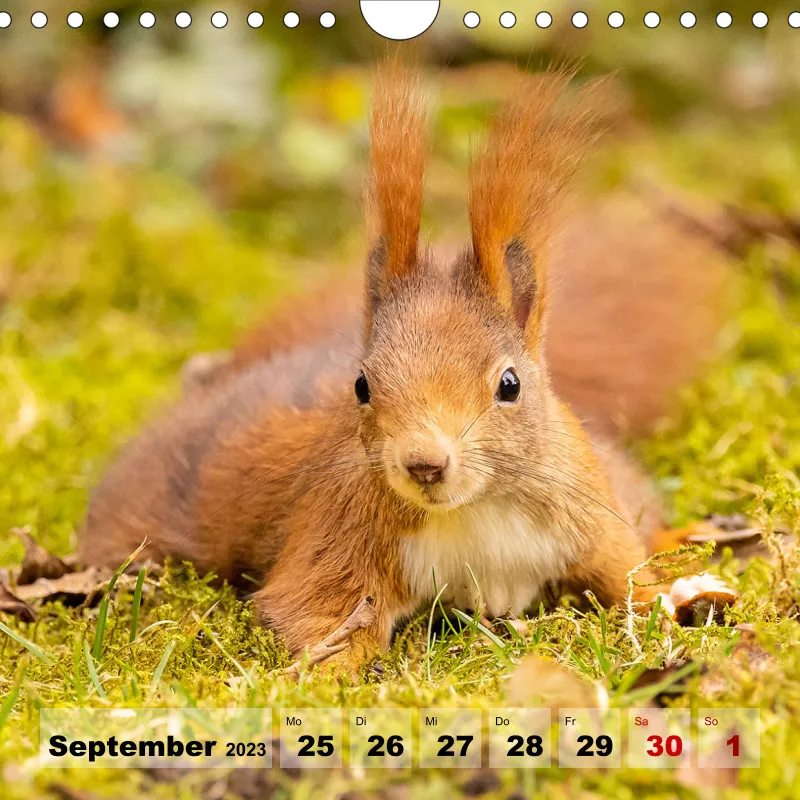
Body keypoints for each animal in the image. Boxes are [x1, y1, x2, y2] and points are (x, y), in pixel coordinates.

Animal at [80, 64, 728, 670]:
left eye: (510, 385)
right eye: (362, 385)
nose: (423, 464)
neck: (475, 511)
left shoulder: (590, 521)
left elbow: (627, 575)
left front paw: (682, 595)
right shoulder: (337, 540)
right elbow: (314, 613)